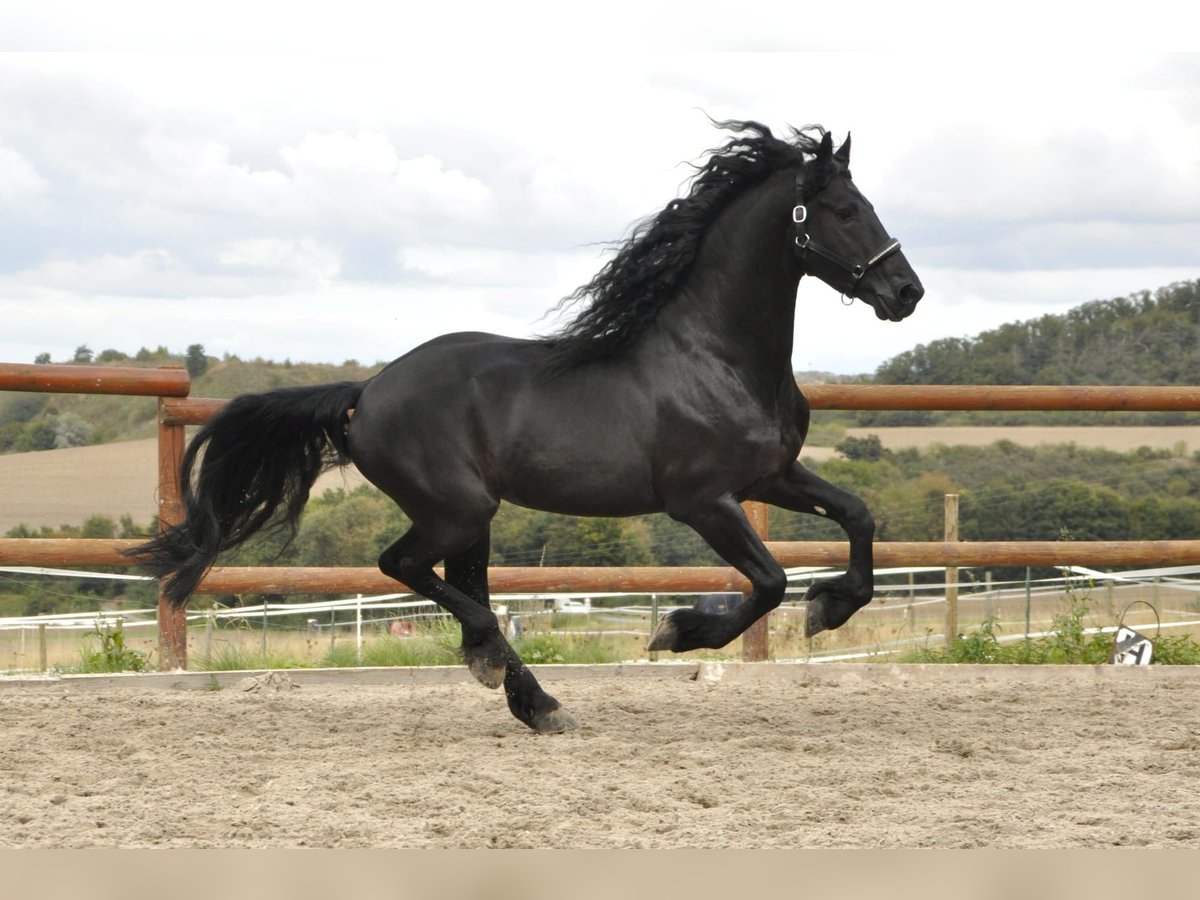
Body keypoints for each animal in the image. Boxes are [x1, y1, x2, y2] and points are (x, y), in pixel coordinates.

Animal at [129, 120, 923, 733]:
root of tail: (369, 390)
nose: (906, 292)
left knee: (461, 587)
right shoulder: (703, 501)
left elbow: (858, 517)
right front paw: (678, 630)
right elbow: (768, 581)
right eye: (844, 209)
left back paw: (530, 699)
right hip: (457, 509)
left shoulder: (772, 476)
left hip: (470, 518)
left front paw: (831, 607)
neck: (717, 355)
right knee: (406, 569)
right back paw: (517, 682)